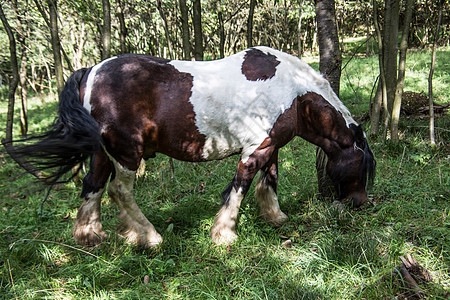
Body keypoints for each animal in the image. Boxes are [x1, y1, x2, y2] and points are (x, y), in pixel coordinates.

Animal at [3, 47, 374, 248]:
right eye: (363, 166)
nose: (358, 204)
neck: (293, 94)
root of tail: (91, 71)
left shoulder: (271, 147)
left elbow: (269, 182)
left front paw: (275, 217)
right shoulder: (254, 150)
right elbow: (240, 187)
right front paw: (224, 233)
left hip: (102, 153)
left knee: (92, 186)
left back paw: (91, 235)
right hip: (127, 153)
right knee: (118, 192)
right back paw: (149, 237)